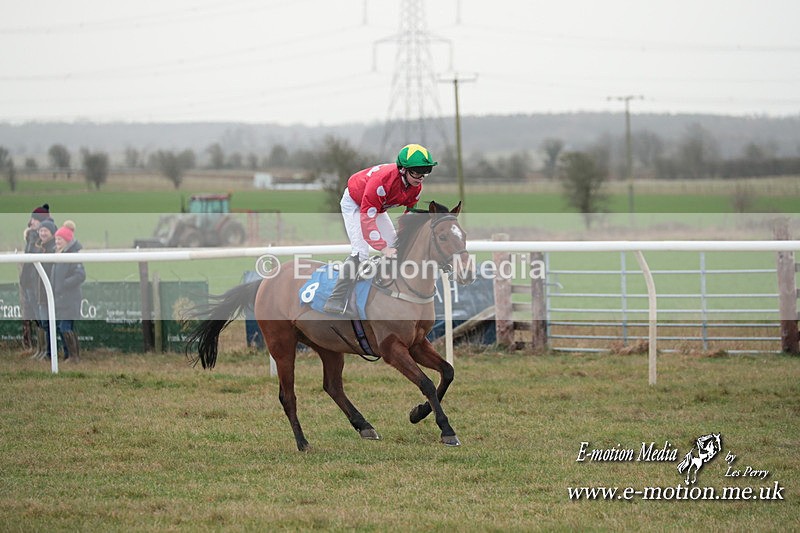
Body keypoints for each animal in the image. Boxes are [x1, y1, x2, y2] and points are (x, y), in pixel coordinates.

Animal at [185, 201, 475, 451]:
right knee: (288, 395)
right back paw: (303, 443)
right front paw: (446, 430)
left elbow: (447, 372)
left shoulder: (417, 343)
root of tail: (266, 281)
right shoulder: (393, 349)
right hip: (282, 345)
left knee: (332, 386)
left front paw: (418, 413)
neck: (401, 286)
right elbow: (426, 382)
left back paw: (364, 426)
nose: (467, 273)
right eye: (443, 237)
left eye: (463, 235)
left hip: (328, 345)